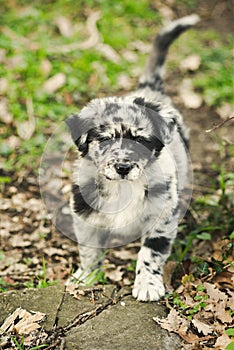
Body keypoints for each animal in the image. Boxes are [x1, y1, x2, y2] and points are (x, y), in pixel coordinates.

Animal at [66, 15, 199, 302]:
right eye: (105, 139)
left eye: (140, 141)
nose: (123, 167)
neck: (123, 187)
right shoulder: (84, 212)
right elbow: (89, 250)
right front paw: (87, 277)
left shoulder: (162, 215)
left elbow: (151, 251)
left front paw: (148, 284)